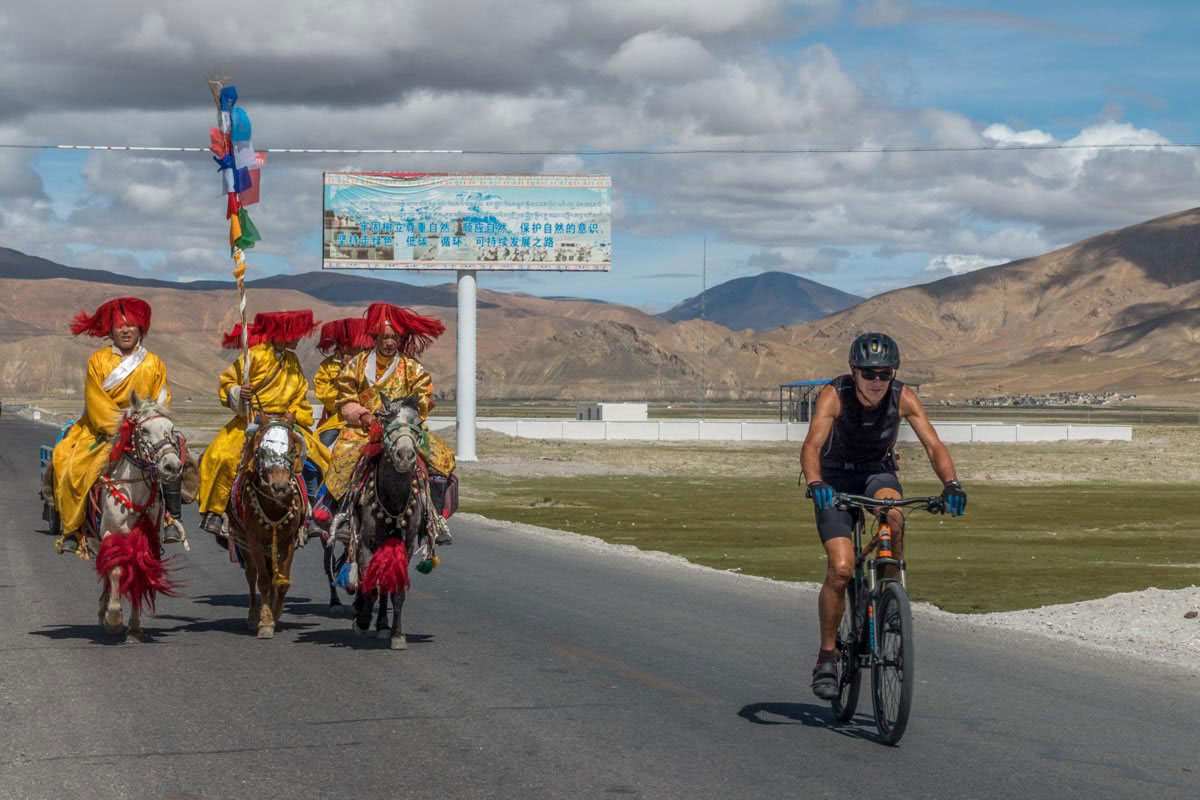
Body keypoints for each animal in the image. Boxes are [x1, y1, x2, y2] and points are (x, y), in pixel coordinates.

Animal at [90, 391, 183, 642]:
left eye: (171, 429)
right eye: (144, 430)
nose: (172, 467)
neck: (134, 491)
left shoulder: (147, 538)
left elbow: (139, 573)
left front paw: (134, 626)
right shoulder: (111, 533)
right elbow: (116, 569)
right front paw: (113, 618)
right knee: (106, 564)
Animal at [226, 417, 307, 642]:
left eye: (292, 448)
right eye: (261, 451)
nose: (279, 486)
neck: (274, 504)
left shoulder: (288, 541)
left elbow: (282, 581)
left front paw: (275, 613)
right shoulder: (254, 540)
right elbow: (262, 580)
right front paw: (265, 622)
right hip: (244, 541)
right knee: (252, 575)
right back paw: (254, 616)